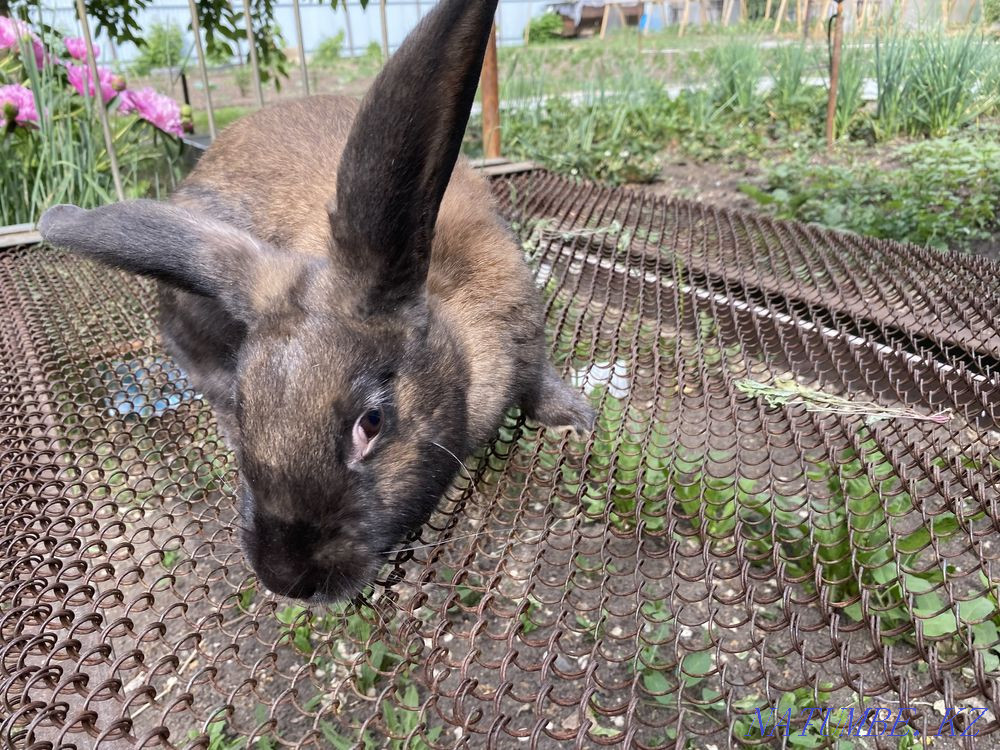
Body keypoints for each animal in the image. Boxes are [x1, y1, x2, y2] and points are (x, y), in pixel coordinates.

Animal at [37, 0, 594, 603]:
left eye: (371, 423)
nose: (285, 578)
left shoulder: (526, 336)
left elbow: (539, 382)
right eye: (248, 409)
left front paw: (575, 419)